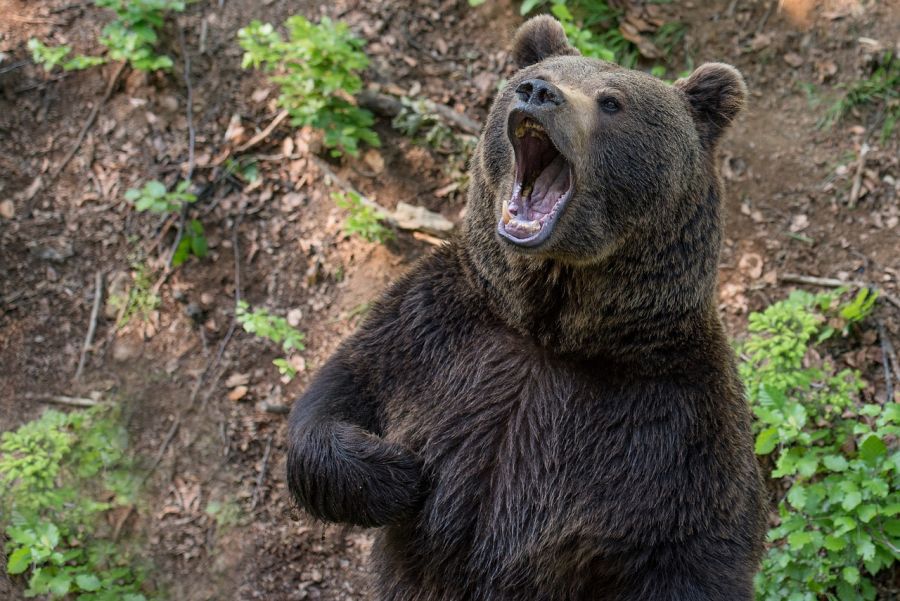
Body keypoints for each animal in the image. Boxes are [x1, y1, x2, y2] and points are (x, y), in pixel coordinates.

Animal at [286, 15, 766, 601]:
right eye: (536, 75)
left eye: (612, 101)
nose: (538, 93)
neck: (548, 329)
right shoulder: (433, 330)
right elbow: (336, 397)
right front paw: (397, 472)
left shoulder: (674, 425)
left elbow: (698, 553)